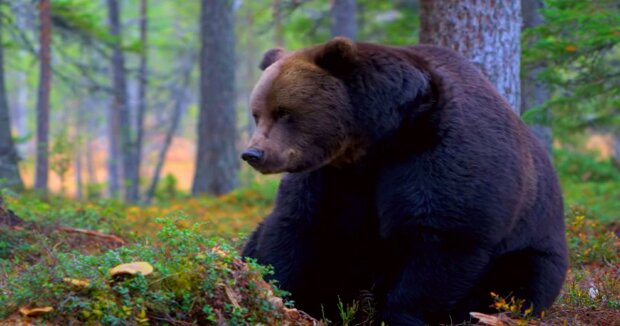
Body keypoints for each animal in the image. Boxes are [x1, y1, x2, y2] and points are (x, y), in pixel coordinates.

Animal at [240, 37, 568, 324]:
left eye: (284, 112)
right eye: (257, 113)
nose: (253, 153)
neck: (377, 139)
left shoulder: (437, 154)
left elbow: (441, 239)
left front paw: (397, 314)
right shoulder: (330, 175)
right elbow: (298, 225)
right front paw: (285, 295)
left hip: (533, 246)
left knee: (519, 279)